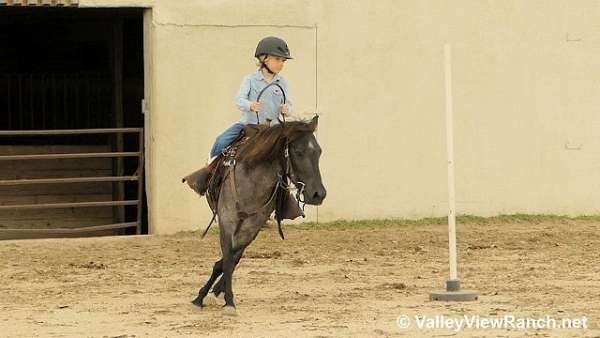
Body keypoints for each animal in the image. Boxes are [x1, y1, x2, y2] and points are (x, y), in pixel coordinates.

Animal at [189, 115, 326, 312]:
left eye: (319, 152)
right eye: (299, 152)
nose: (318, 194)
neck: (253, 180)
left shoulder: (253, 225)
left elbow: (230, 260)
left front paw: (220, 295)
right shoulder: (227, 219)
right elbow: (227, 260)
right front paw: (216, 299)